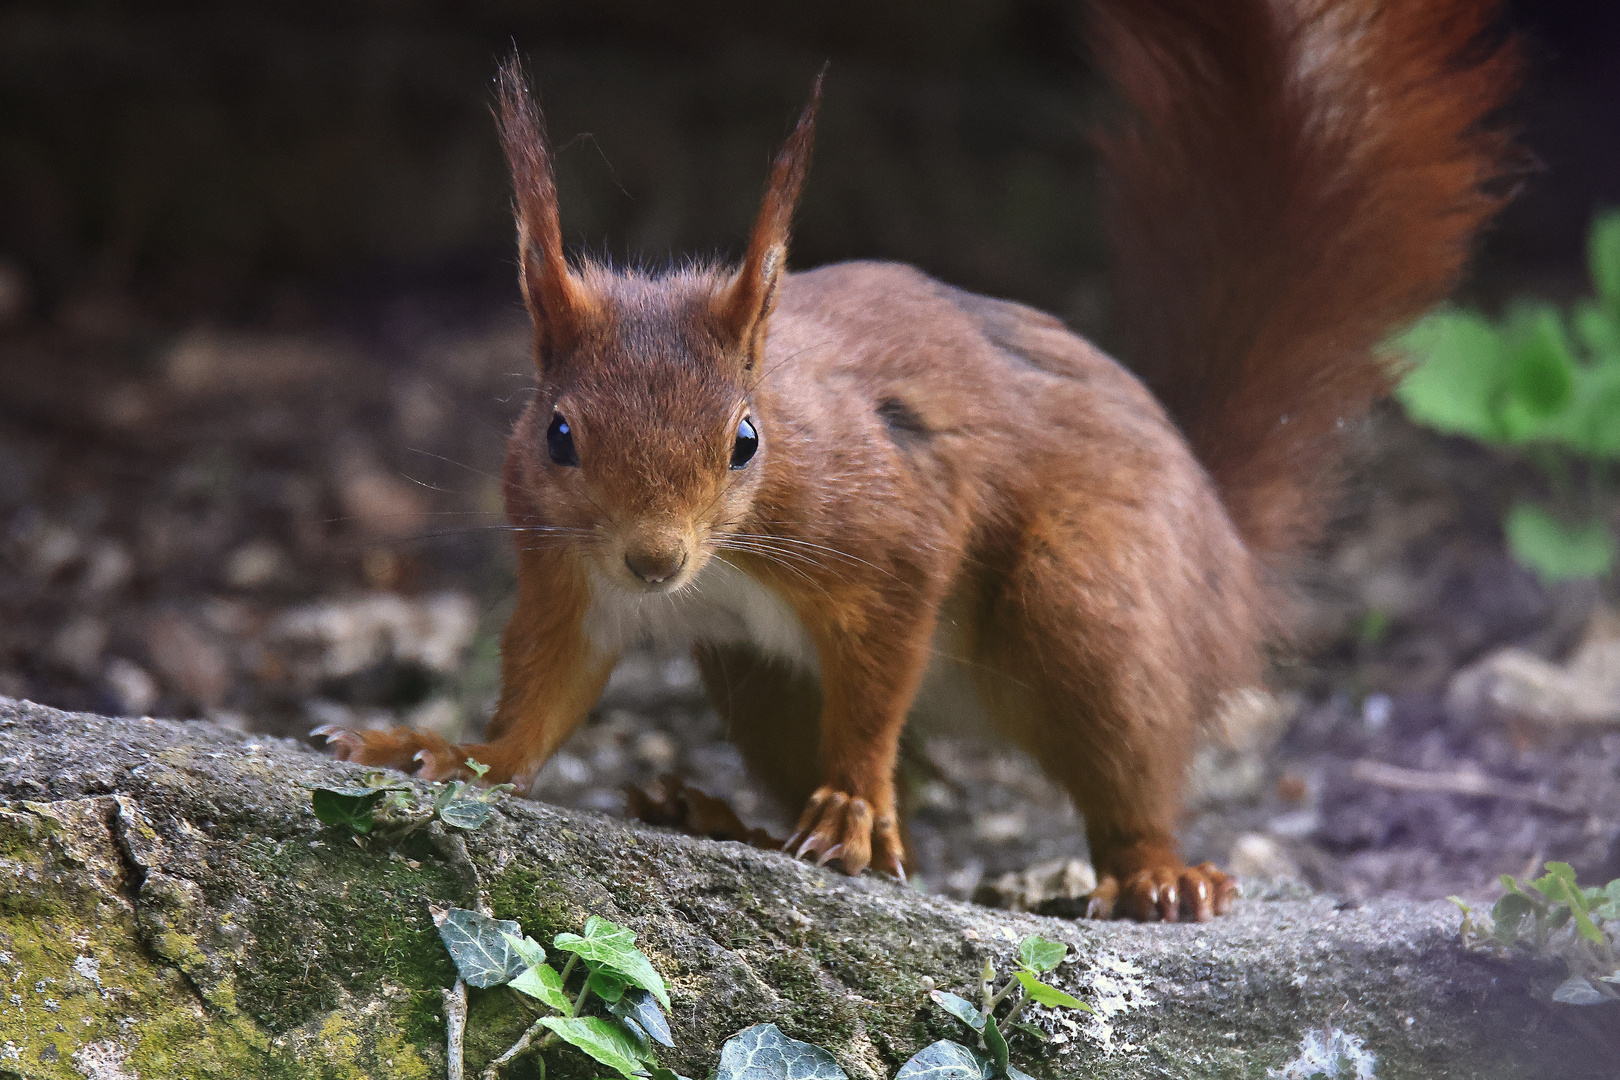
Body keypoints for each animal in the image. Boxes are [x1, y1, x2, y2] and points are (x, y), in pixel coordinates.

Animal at [319, 0, 1516, 926]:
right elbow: (541, 698)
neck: (729, 552)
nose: (654, 563)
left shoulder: (892, 536)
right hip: (750, 676)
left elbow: (878, 682)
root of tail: (1225, 541)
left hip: (1091, 601)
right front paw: (438, 752)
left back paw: (1156, 874)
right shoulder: (565, 574)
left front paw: (856, 806)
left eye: (746, 440)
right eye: (558, 434)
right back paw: (718, 815)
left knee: (1127, 764)